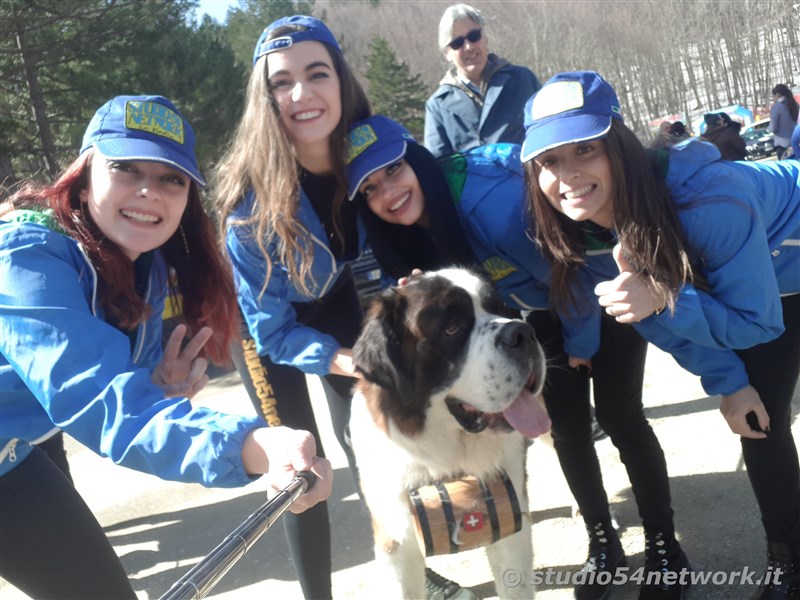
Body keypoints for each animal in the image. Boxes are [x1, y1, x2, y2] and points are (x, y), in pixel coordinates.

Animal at [350, 270, 552, 596]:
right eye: (452, 328)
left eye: (499, 308)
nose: (522, 332)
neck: (446, 454)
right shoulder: (395, 540)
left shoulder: (510, 523)